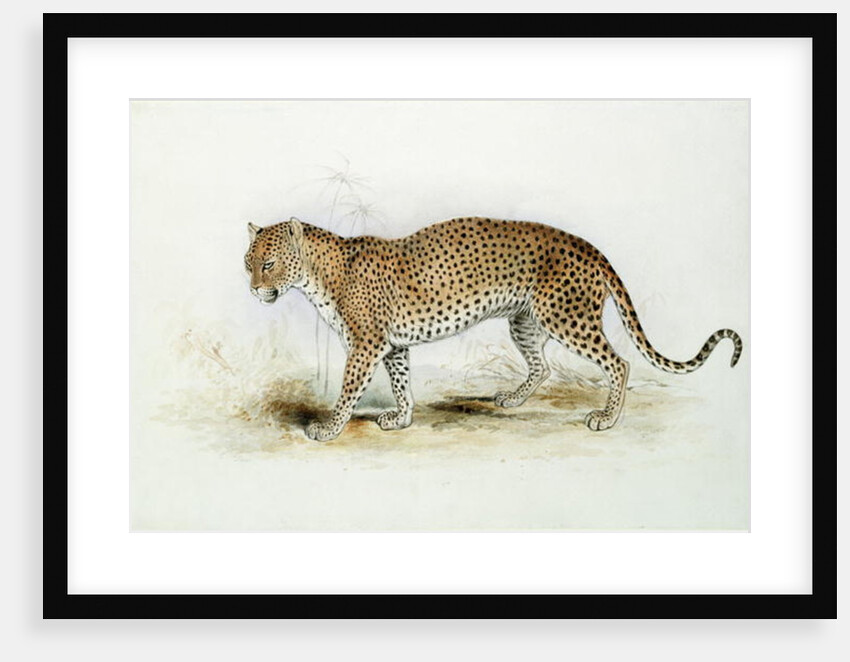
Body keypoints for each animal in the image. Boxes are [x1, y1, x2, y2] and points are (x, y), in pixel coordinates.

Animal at [244, 217, 742, 441]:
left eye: (268, 264)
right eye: (248, 262)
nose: (253, 290)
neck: (316, 275)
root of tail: (587, 246)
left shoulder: (366, 346)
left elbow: (349, 389)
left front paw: (328, 428)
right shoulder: (393, 346)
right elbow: (403, 384)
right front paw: (401, 418)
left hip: (569, 318)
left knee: (618, 362)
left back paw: (606, 418)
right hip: (525, 322)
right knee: (542, 367)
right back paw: (511, 399)